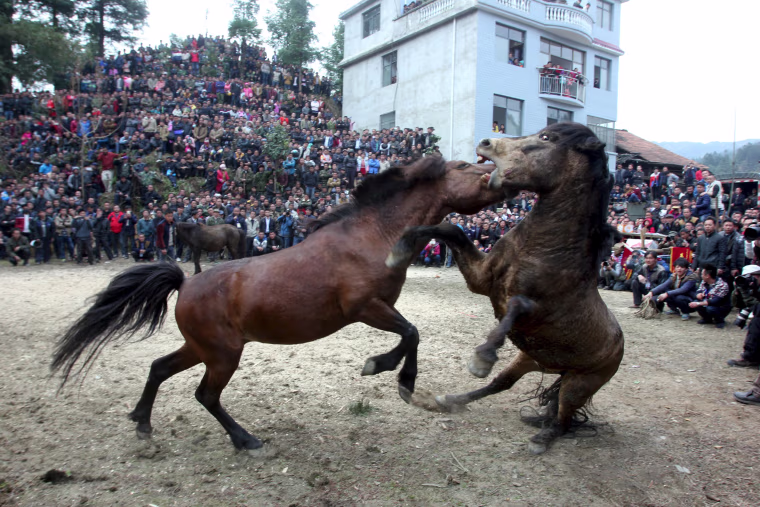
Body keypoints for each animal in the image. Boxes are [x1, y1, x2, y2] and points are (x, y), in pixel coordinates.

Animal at [51, 157, 504, 454]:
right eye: (467, 165)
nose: (503, 179)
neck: (374, 236)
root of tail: (185, 283)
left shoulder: (378, 308)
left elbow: (411, 334)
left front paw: (400, 380)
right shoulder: (364, 308)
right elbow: (411, 332)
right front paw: (388, 372)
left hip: (201, 348)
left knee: (159, 368)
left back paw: (142, 423)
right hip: (222, 354)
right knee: (205, 396)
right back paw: (245, 440)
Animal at [388, 123, 624, 454]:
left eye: (546, 138)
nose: (486, 143)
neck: (544, 249)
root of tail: (620, 344)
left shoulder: (535, 310)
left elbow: (517, 306)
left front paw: (482, 358)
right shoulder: (481, 279)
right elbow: (451, 228)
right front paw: (399, 249)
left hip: (582, 382)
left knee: (564, 417)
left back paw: (542, 439)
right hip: (531, 360)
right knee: (502, 385)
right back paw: (450, 400)